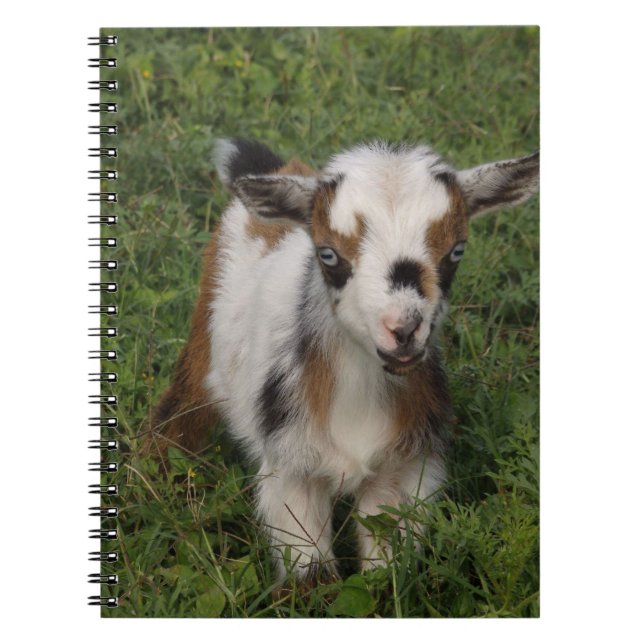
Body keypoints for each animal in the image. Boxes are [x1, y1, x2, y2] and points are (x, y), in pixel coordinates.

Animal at [150, 137, 539, 581]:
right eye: (328, 255)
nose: (403, 329)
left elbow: (384, 572)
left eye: (457, 250)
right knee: (179, 412)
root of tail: (284, 168)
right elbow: (311, 575)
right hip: (204, 337)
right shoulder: (291, 469)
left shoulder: (399, 470)